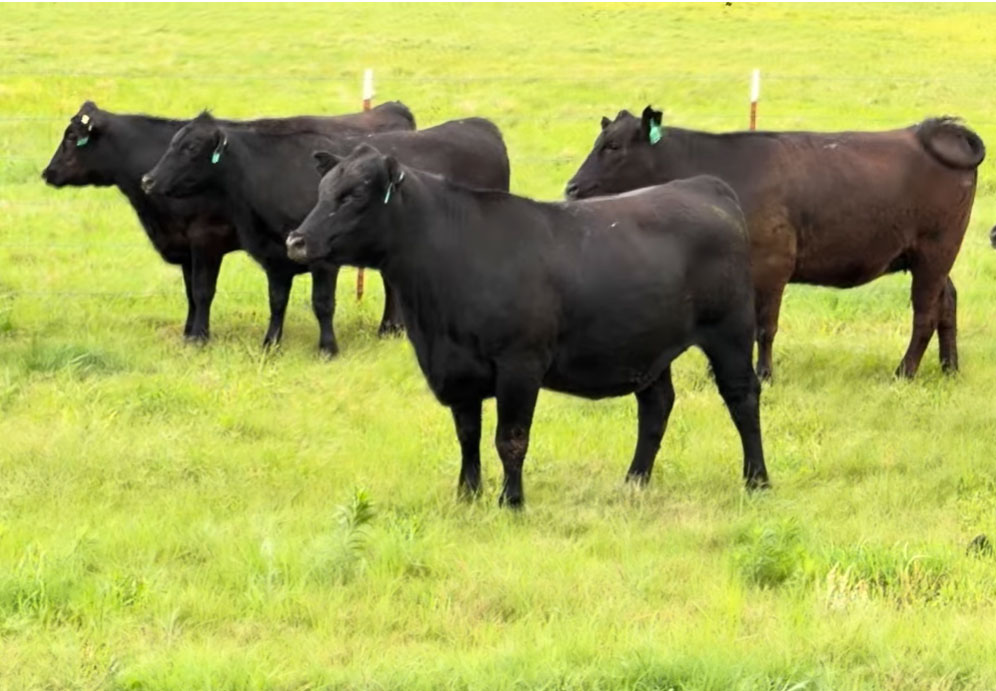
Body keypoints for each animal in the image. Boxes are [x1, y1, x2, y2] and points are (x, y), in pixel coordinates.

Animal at [41, 100, 415, 345]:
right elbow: (190, 293)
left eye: (72, 138)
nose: (47, 172)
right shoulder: (185, 246)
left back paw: (389, 329)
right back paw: (393, 328)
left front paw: (199, 337)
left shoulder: (206, 239)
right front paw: (189, 331)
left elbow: (203, 290)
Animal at [141, 114, 509, 352]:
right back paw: (390, 329)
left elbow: (322, 303)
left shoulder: (322, 256)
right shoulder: (277, 255)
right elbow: (277, 301)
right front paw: (270, 343)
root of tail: (481, 125)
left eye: (190, 148)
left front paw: (327, 348)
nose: (148, 179)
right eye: (173, 142)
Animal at [284, 144, 769, 508]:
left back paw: (757, 480)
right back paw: (634, 480)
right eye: (323, 190)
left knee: (742, 399)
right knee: (656, 407)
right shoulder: (458, 369)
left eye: (354, 194)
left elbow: (510, 439)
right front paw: (467, 495)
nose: (296, 240)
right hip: (650, 346)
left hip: (730, 333)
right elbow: (468, 435)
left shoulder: (520, 364)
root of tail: (705, 186)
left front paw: (511, 502)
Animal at [565, 107, 985, 381]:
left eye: (614, 146)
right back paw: (949, 368)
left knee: (925, 314)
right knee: (947, 301)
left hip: (935, 250)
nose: (571, 188)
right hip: (927, 256)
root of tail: (932, 130)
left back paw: (905, 372)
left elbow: (764, 326)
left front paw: (764, 375)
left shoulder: (772, 265)